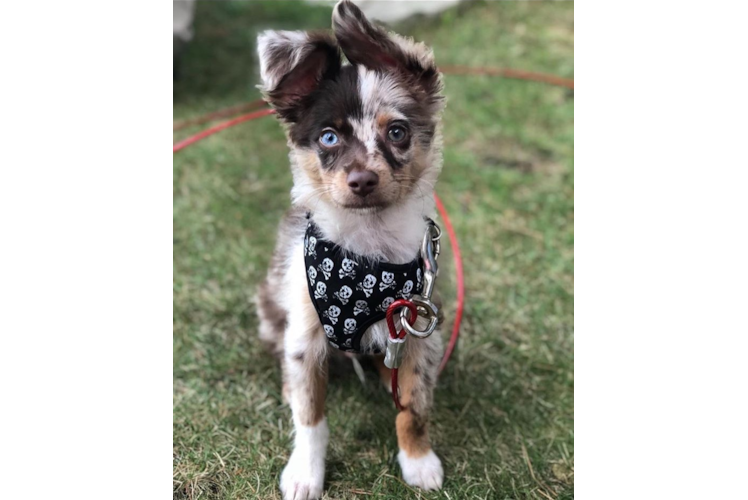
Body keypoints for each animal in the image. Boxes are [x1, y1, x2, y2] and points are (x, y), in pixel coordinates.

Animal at [256, 1, 444, 498]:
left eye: (397, 132)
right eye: (328, 137)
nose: (362, 180)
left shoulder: (418, 331)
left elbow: (413, 406)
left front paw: (418, 462)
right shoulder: (305, 338)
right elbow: (311, 417)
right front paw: (305, 473)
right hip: (271, 310)